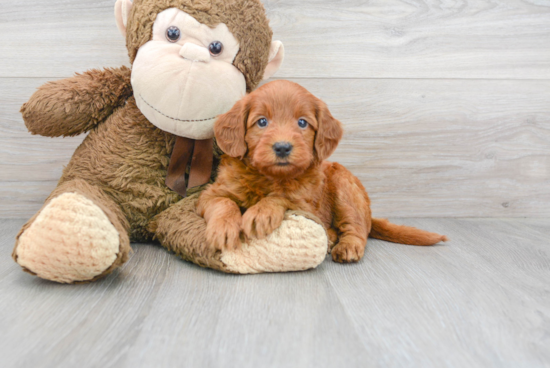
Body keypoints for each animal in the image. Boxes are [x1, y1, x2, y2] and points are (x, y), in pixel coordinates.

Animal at [198, 81, 448, 262]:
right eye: (261, 122)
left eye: (302, 123)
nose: (282, 147)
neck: (268, 177)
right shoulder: (210, 193)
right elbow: (223, 202)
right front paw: (223, 228)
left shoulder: (306, 204)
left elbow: (281, 197)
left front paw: (261, 212)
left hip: (344, 186)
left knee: (357, 228)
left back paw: (346, 245)